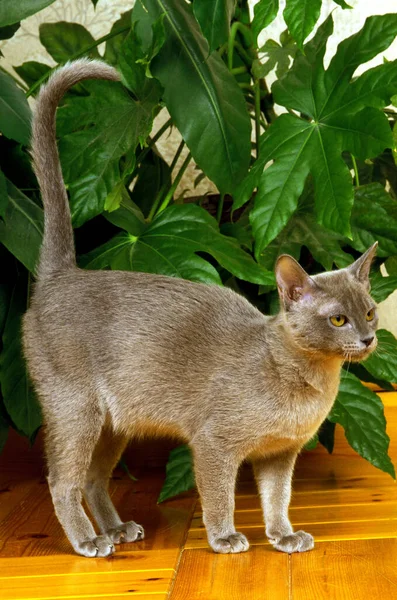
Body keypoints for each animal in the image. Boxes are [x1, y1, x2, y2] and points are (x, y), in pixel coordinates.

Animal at [22, 59, 378, 556]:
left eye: (369, 311)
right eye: (338, 319)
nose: (368, 338)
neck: (311, 381)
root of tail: (64, 273)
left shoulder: (279, 454)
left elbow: (278, 497)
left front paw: (283, 536)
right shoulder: (214, 443)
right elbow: (218, 494)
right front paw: (225, 537)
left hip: (114, 426)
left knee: (93, 479)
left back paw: (117, 530)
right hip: (76, 411)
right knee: (61, 480)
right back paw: (89, 541)